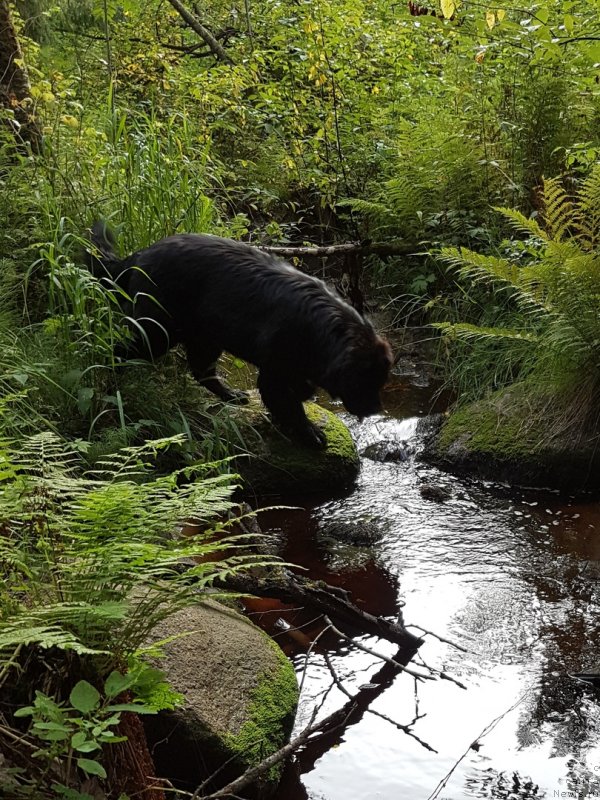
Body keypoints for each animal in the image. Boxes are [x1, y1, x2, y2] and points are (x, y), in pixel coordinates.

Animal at [86, 223, 392, 450]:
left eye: (380, 382)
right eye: (361, 382)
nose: (375, 410)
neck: (321, 332)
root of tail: (138, 256)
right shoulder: (274, 373)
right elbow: (289, 405)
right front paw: (309, 432)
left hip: (207, 337)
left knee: (202, 372)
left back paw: (231, 395)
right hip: (158, 332)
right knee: (120, 352)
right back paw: (111, 386)